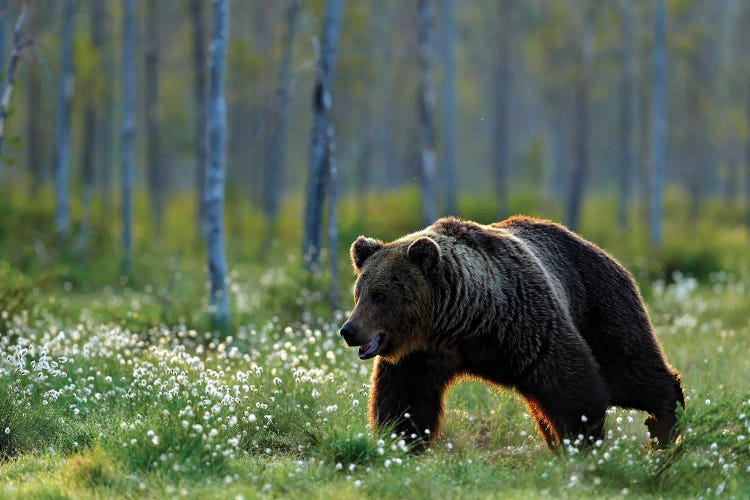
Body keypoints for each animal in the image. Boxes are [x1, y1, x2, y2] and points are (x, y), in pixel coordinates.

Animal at [340, 217, 688, 452]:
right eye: (359, 293)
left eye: (381, 295)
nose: (349, 330)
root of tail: (608, 254)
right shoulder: (419, 356)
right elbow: (403, 401)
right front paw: (399, 442)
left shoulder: (526, 323)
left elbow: (573, 386)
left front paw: (583, 442)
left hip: (600, 304)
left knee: (630, 371)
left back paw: (664, 426)